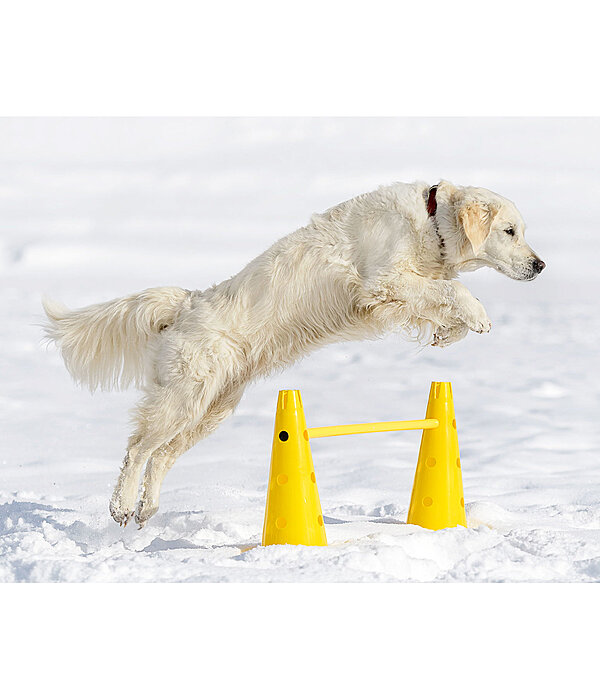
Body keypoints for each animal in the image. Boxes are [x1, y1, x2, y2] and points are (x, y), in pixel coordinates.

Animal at [44, 180, 548, 524]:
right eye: (509, 230)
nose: (540, 265)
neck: (430, 222)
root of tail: (187, 303)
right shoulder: (382, 283)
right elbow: (452, 291)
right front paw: (477, 315)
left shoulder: (396, 295)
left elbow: (442, 298)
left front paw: (450, 334)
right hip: (184, 398)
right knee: (137, 449)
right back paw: (121, 506)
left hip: (214, 407)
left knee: (162, 456)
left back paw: (147, 509)